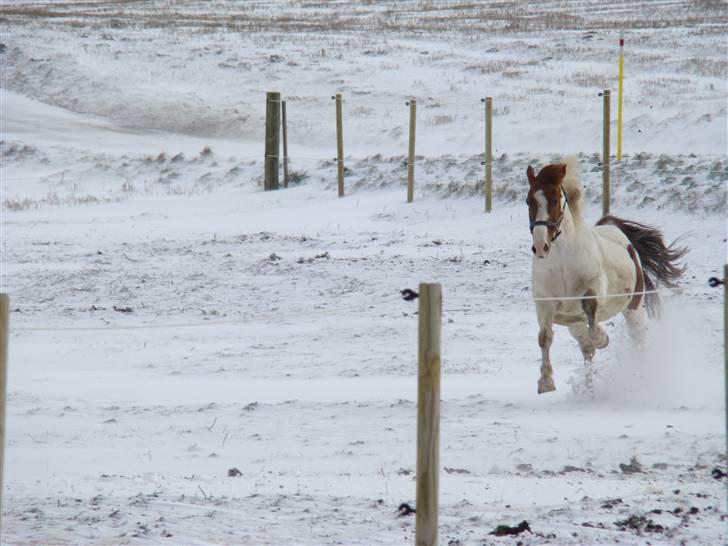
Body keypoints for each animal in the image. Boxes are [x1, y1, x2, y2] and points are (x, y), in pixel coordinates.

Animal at [528, 155, 684, 394]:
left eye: (554, 200)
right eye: (529, 201)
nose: (540, 246)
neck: (562, 260)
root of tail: (615, 229)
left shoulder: (596, 288)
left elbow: (590, 307)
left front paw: (602, 338)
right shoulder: (545, 303)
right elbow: (545, 337)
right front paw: (545, 382)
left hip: (634, 308)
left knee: (639, 341)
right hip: (575, 325)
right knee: (586, 349)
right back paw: (589, 389)